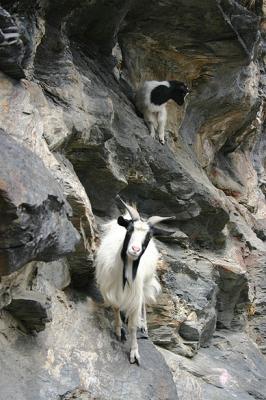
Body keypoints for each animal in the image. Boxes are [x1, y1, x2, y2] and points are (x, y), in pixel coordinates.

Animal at [95, 197, 175, 366]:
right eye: (130, 230)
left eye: (149, 236)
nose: (135, 249)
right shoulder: (111, 289)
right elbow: (116, 308)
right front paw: (118, 330)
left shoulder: (135, 294)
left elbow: (132, 325)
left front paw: (134, 353)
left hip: (145, 283)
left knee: (144, 301)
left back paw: (143, 326)